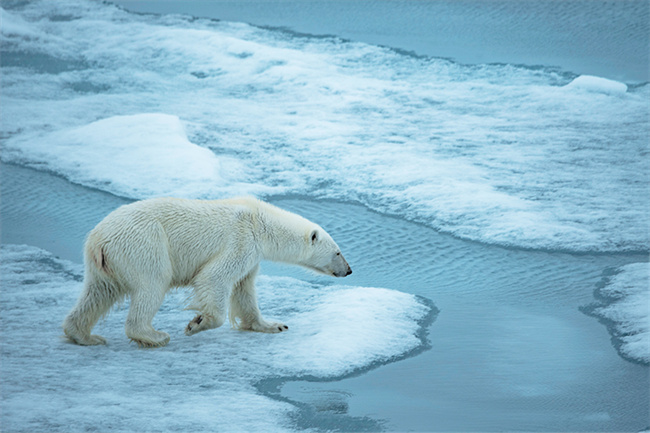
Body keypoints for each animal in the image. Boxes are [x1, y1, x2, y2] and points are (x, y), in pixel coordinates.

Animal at [62, 197, 350, 346]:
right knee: (152, 283)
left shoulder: (251, 255)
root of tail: (98, 239)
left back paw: (85, 336)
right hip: (144, 244)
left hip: (106, 263)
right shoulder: (241, 240)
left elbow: (244, 290)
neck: (260, 221)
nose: (348, 270)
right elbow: (215, 277)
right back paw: (154, 335)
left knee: (98, 292)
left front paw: (274, 325)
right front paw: (197, 323)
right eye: (338, 252)